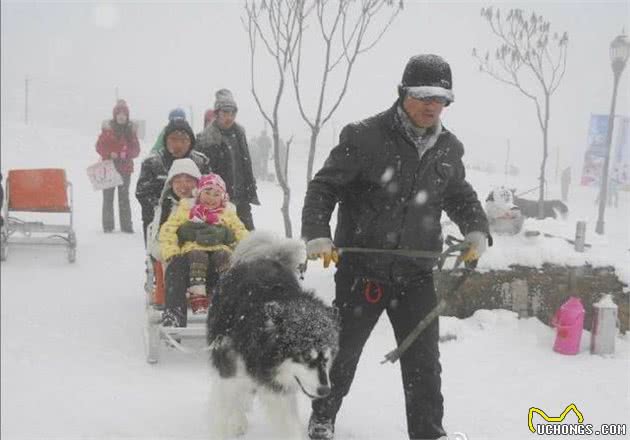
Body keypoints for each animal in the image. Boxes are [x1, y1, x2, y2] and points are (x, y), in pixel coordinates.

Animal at [209, 232, 340, 438]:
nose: (325, 390)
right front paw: (232, 423)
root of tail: (267, 257)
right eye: (305, 357)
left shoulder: (280, 390)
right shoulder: (228, 373)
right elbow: (224, 412)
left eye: (326, 358)